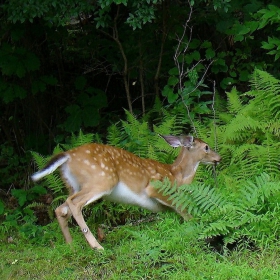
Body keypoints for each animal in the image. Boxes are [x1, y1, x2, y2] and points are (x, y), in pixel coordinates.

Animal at [31, 135, 221, 250]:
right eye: (206, 147)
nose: (218, 158)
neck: (177, 176)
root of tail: (68, 156)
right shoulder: (155, 187)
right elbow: (183, 210)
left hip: (74, 185)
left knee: (60, 208)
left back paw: (71, 246)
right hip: (102, 179)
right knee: (74, 203)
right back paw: (97, 247)